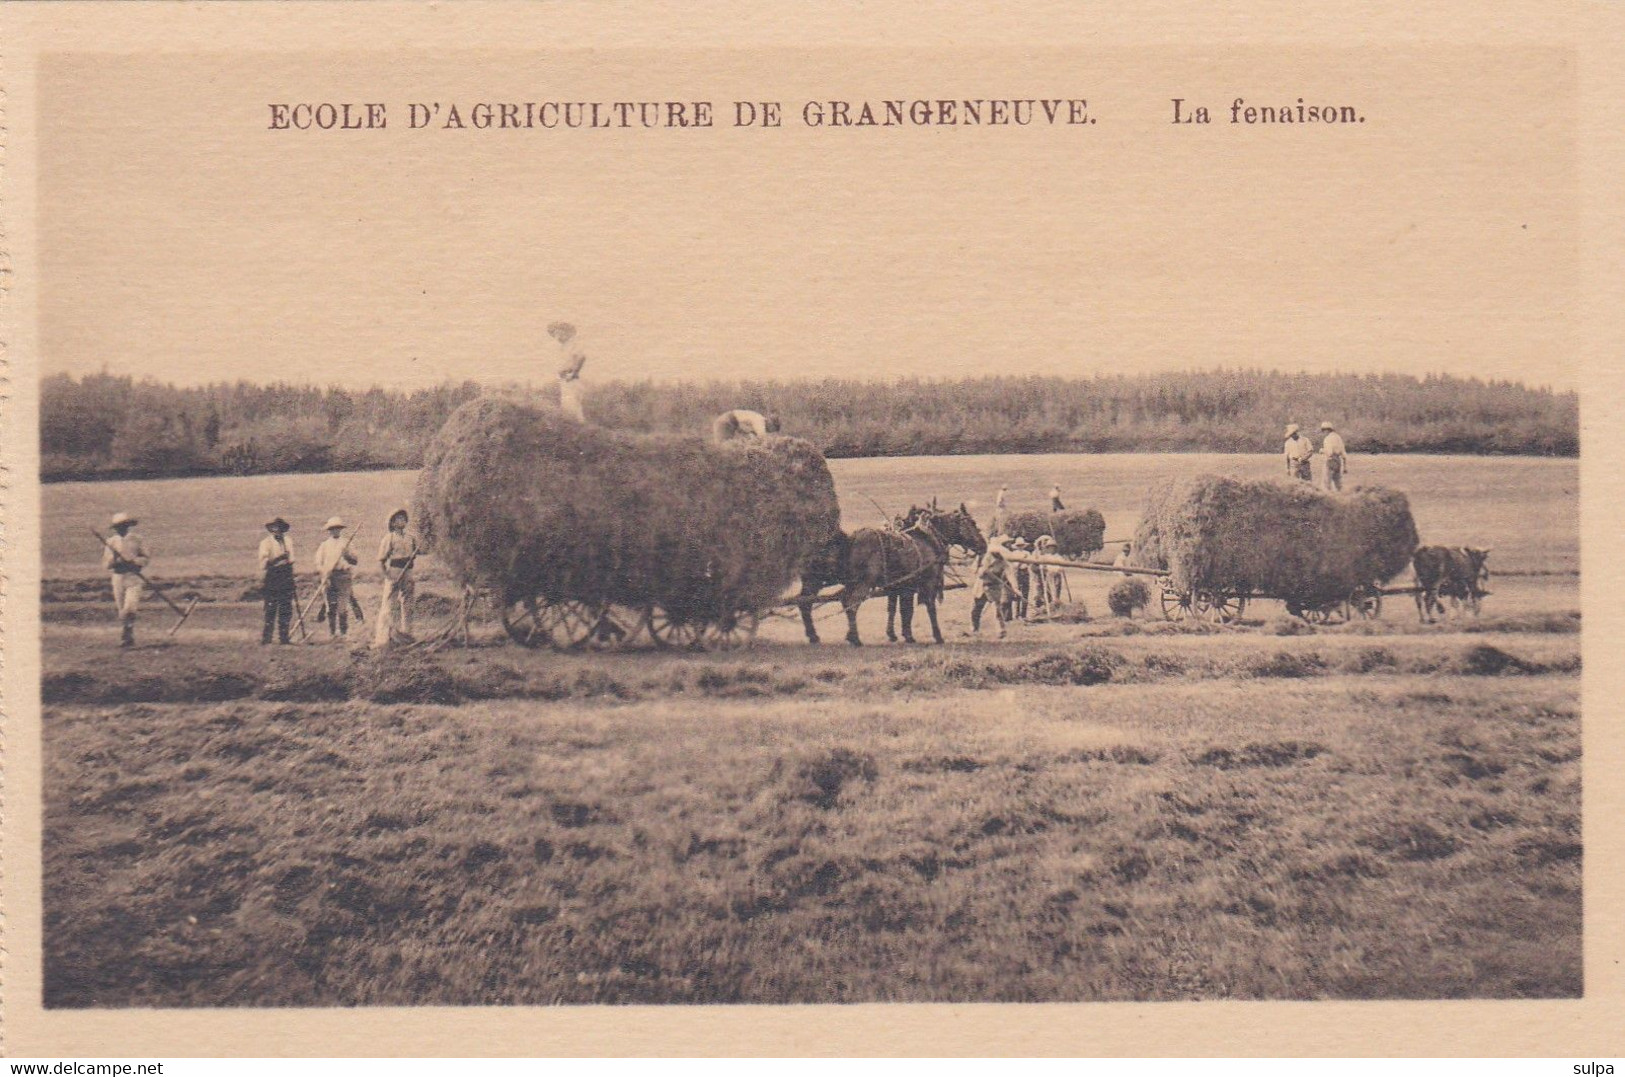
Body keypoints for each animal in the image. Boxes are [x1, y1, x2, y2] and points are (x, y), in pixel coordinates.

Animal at [802, 500, 988, 643]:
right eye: (972, 523)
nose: (983, 545)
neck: (928, 538)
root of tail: (853, 538)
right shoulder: (926, 583)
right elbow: (928, 608)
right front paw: (936, 636)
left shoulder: (900, 586)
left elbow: (898, 609)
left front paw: (899, 634)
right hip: (862, 582)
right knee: (849, 603)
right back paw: (853, 638)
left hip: (846, 582)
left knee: (823, 602)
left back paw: (827, 635)